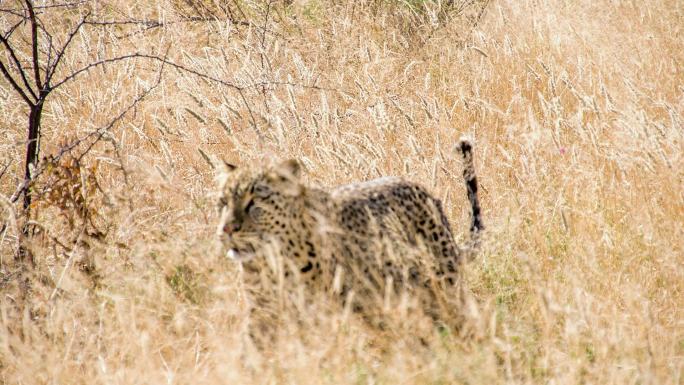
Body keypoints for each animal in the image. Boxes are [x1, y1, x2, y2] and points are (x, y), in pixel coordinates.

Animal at [216, 138, 484, 344]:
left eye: (254, 204)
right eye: (223, 203)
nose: (226, 229)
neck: (272, 262)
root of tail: (426, 193)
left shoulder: (318, 312)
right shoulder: (262, 311)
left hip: (441, 287)